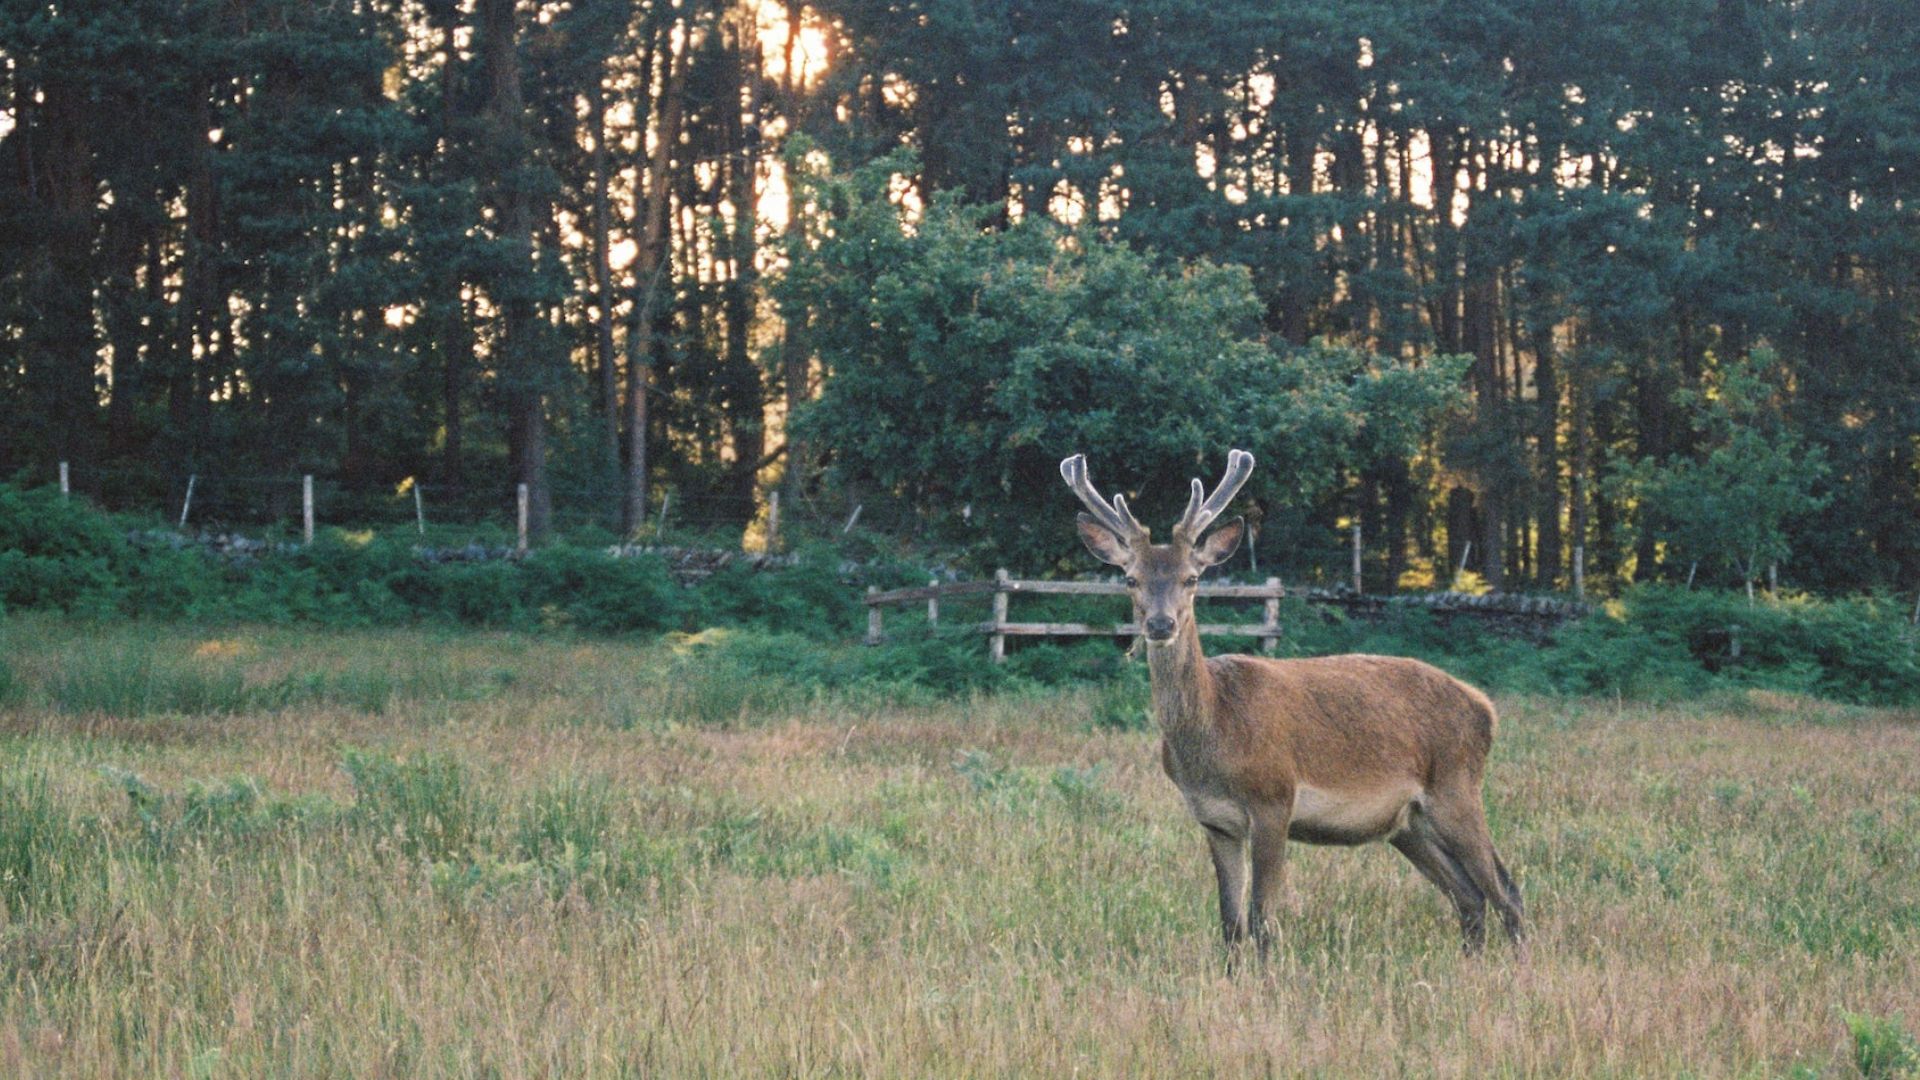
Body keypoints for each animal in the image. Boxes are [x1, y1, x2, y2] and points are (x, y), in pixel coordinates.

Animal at [1059, 449, 1520, 953]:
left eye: (1192, 578)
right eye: (1130, 579)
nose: (1161, 625)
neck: (1216, 734)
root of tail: (1485, 707)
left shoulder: (1274, 799)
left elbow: (1262, 919)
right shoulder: (1214, 820)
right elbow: (1230, 924)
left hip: (1457, 787)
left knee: (1505, 889)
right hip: (1408, 824)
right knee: (1469, 896)